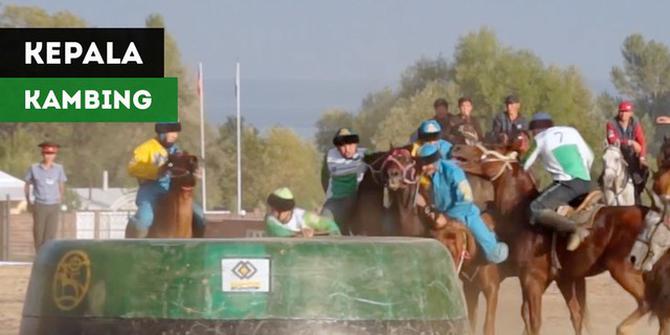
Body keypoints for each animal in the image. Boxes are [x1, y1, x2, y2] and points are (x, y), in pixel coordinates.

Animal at [452, 144, 652, 335]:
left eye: (492, 151)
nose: (458, 148)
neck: (519, 215)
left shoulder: (532, 279)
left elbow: (534, 322)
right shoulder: (563, 279)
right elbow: (574, 316)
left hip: (624, 270)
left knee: (646, 302)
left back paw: (623, 328)